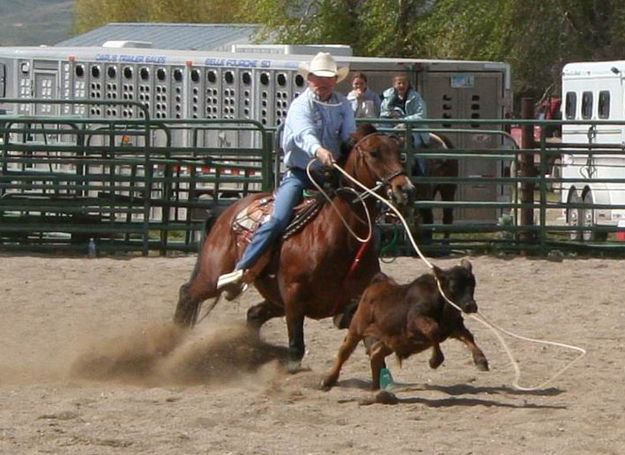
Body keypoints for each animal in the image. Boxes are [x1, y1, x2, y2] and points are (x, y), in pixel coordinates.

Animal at [173, 124, 414, 370]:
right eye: (374, 153)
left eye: (400, 153)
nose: (405, 189)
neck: (337, 237)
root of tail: (226, 212)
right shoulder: (293, 295)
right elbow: (296, 348)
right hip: (214, 277)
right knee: (188, 294)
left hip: (273, 300)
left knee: (253, 314)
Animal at [322, 260, 488, 392]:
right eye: (454, 286)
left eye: (472, 284)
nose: (470, 306)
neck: (442, 304)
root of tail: (375, 285)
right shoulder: (415, 321)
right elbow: (433, 331)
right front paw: (435, 361)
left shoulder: (454, 327)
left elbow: (468, 337)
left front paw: (481, 361)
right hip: (357, 328)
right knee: (344, 352)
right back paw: (328, 380)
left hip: (391, 340)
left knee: (375, 353)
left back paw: (376, 388)